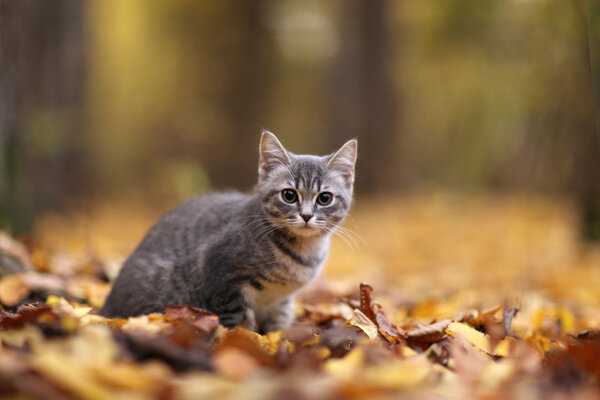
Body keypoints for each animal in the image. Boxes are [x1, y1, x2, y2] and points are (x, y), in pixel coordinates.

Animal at [99, 131, 356, 334]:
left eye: (325, 198)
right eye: (289, 195)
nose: (306, 215)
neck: (303, 250)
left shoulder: (281, 301)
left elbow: (278, 324)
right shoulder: (224, 277)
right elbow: (240, 322)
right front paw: (251, 342)